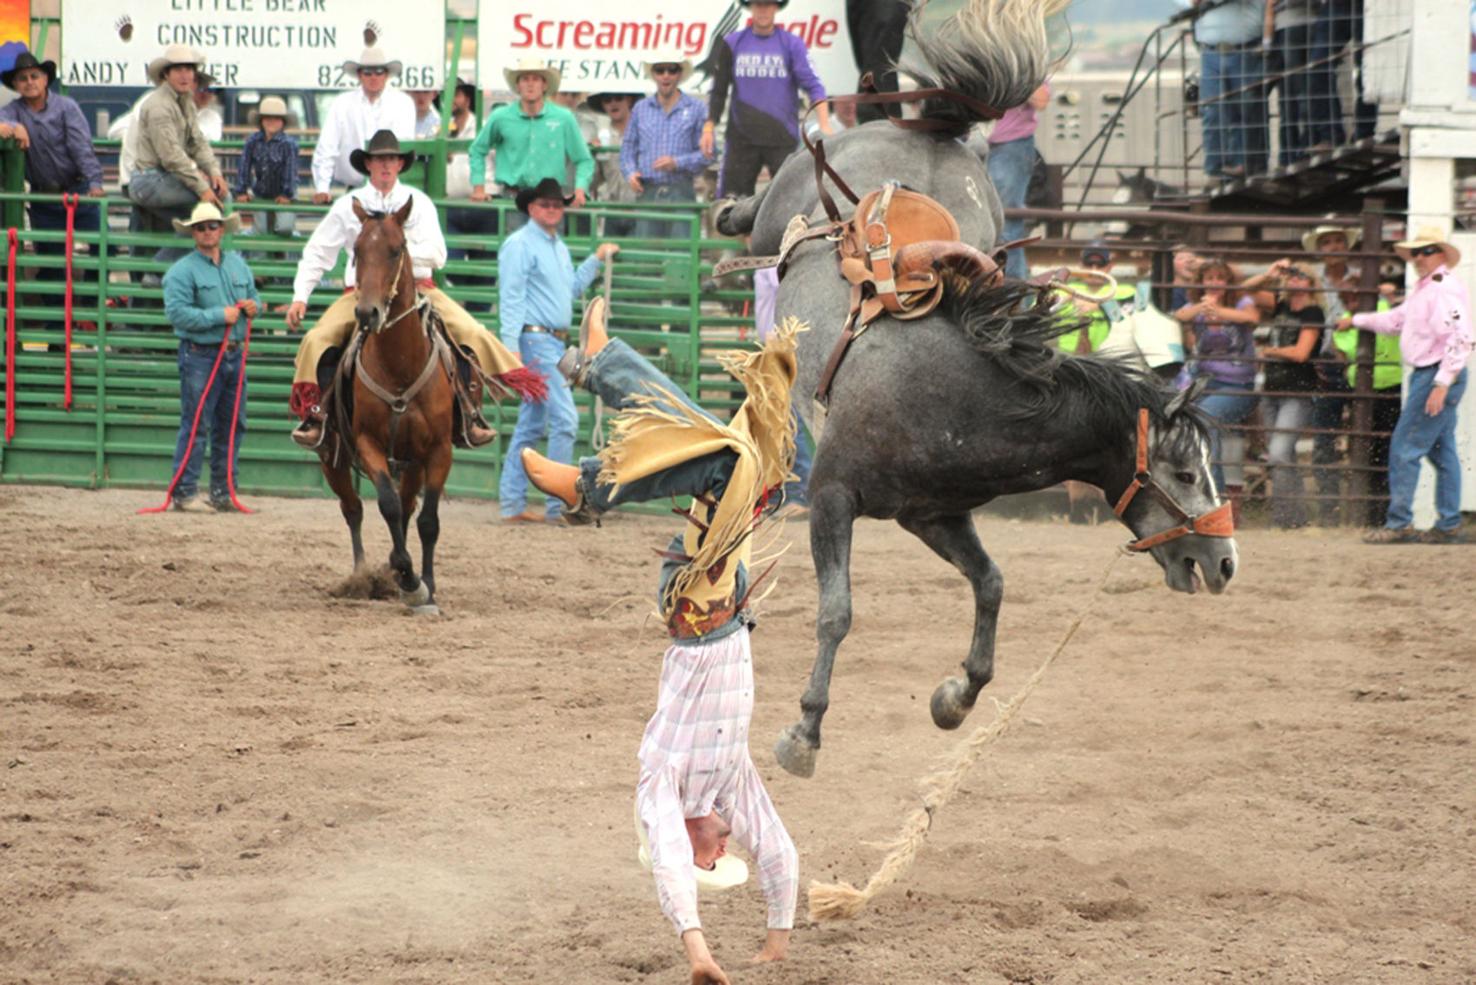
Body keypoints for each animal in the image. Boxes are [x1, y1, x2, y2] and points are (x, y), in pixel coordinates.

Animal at [324, 197, 451, 617]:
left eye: (396, 250)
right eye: (357, 250)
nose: (367, 314)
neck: (400, 366)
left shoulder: (439, 450)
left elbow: (428, 520)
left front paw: (427, 587)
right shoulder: (368, 444)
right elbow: (387, 505)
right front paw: (407, 578)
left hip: (413, 462)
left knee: (411, 507)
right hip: (331, 457)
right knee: (353, 508)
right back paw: (362, 575)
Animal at [720, 0, 1239, 779]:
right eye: (1183, 472)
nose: (1225, 561)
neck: (957, 398)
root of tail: (930, 129)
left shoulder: (932, 514)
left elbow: (991, 582)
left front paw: (956, 697)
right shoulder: (833, 496)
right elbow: (838, 610)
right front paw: (804, 731)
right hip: (782, 207)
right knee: (761, 213)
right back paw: (726, 211)